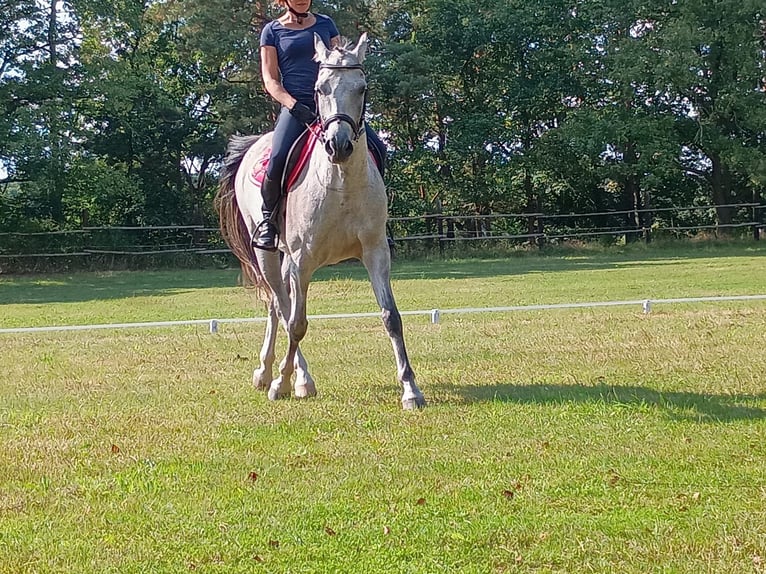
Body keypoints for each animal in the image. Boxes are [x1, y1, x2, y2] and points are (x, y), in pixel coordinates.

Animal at [215, 33, 426, 410]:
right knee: (282, 307)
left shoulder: (375, 253)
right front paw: (284, 383)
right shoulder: (303, 261)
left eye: (362, 88)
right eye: (319, 88)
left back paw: (265, 373)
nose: (338, 146)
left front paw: (410, 390)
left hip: (285, 259)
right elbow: (297, 323)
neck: (340, 184)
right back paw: (291, 378)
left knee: (276, 304)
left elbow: (391, 317)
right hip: (268, 253)